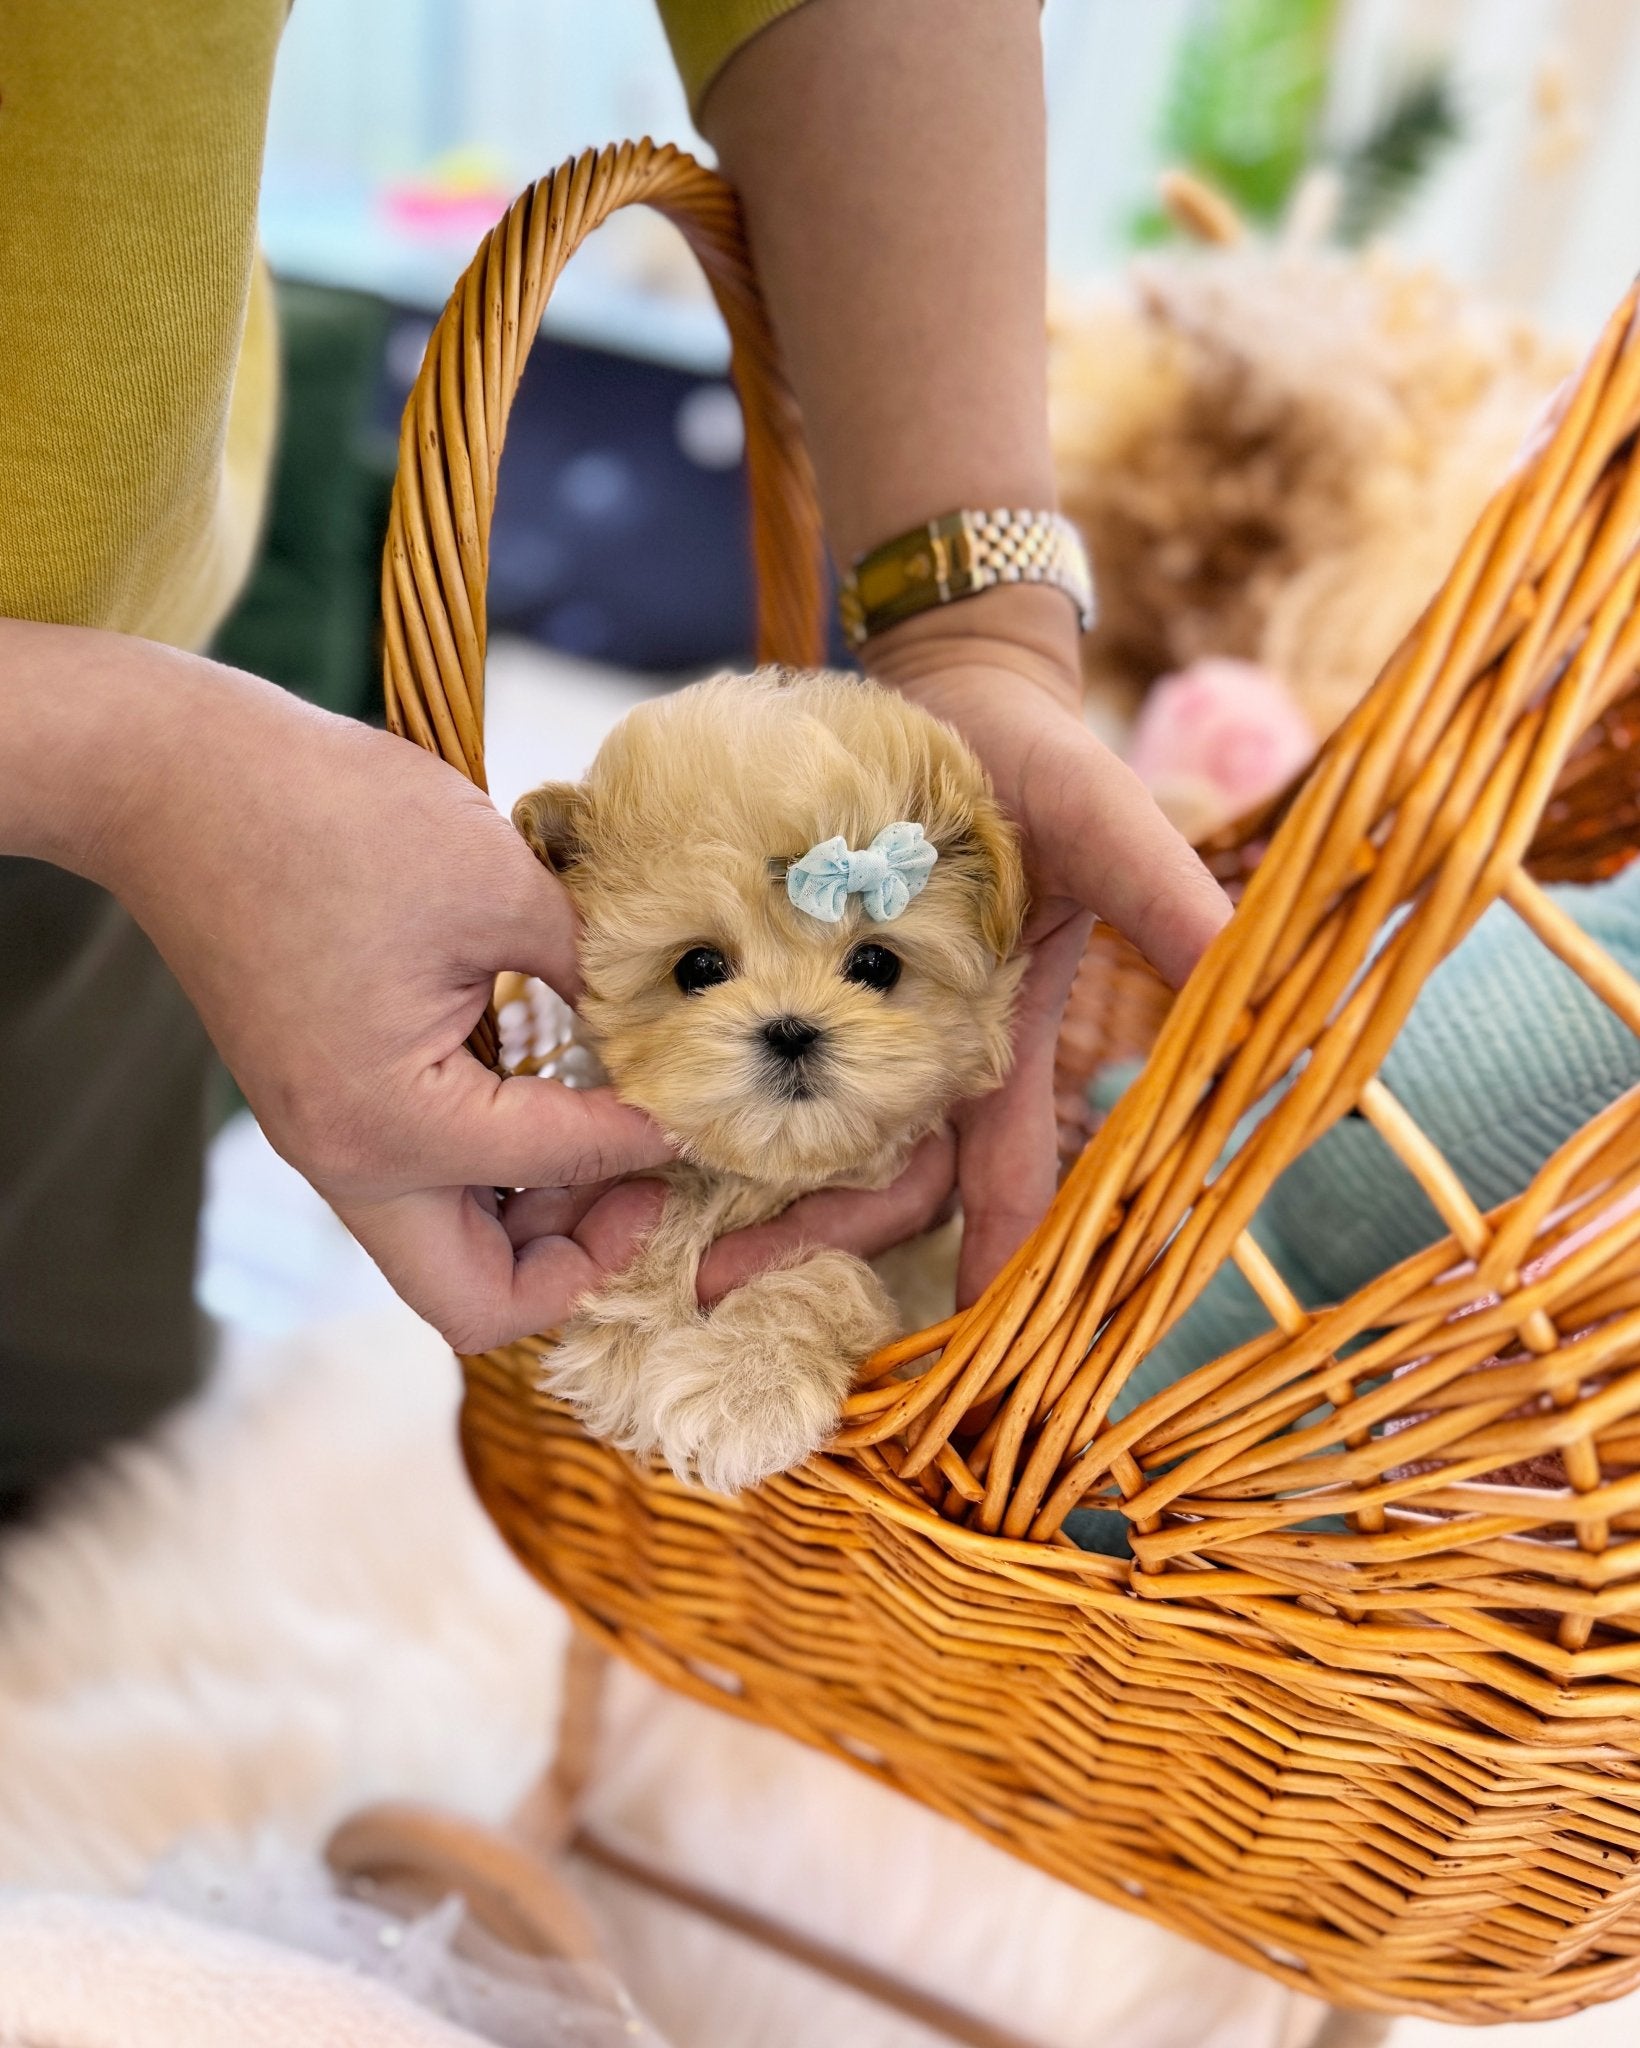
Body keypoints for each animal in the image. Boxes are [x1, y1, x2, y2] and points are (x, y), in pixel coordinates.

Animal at [511, 667, 1023, 1490]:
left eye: (875, 964)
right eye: (699, 967)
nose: (790, 1030)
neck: (771, 1174)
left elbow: (830, 1274)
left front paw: (744, 1384)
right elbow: (663, 1207)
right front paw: (633, 1335)